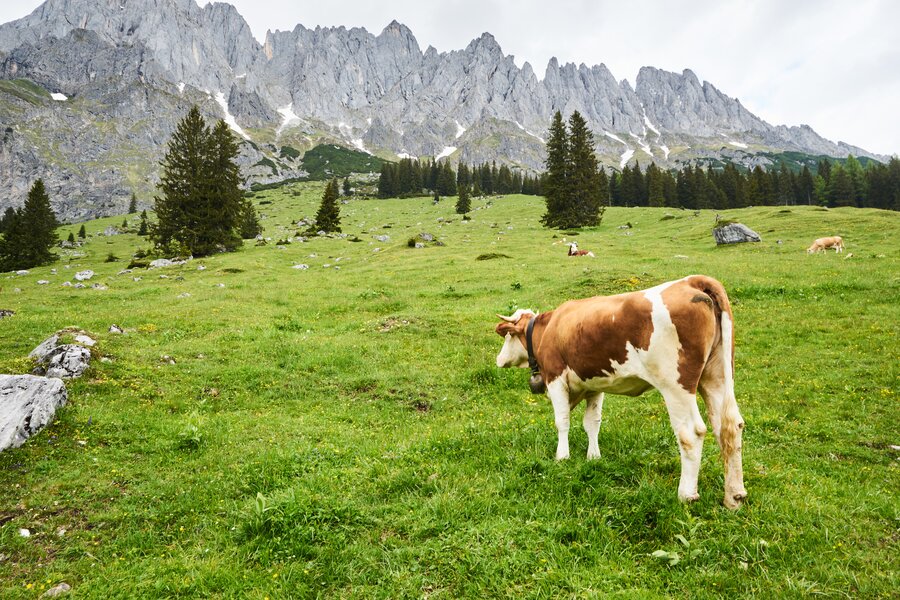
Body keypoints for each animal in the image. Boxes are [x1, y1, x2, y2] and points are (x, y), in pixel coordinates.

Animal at [496, 274, 748, 508]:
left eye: (508, 336)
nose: (499, 359)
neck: (549, 328)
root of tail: (692, 280)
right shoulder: (594, 385)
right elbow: (592, 422)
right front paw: (593, 457)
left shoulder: (556, 379)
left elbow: (562, 421)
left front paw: (562, 457)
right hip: (716, 376)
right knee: (728, 427)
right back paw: (734, 495)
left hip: (676, 386)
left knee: (691, 433)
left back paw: (686, 494)